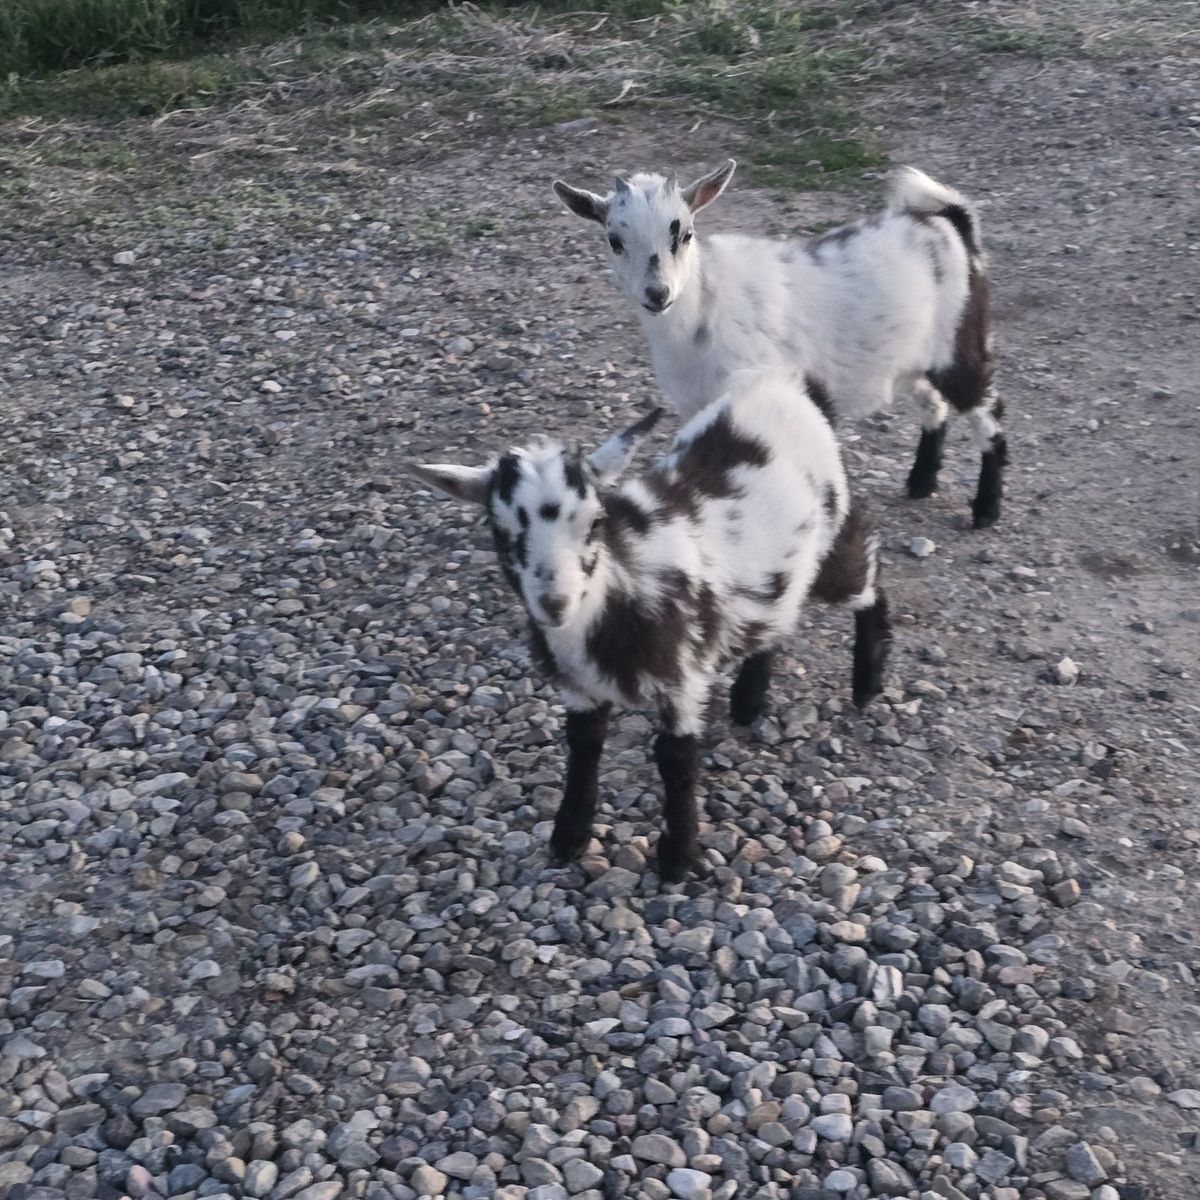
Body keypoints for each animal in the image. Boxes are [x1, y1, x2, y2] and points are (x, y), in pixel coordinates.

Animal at [410, 369, 891, 882]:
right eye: (500, 531)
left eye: (596, 522)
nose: (555, 604)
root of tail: (792, 384)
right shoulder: (578, 689)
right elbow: (583, 746)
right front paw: (569, 836)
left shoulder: (682, 680)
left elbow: (675, 759)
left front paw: (678, 857)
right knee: (777, 617)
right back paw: (748, 702)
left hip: (835, 539)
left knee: (870, 588)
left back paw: (866, 683)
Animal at [553, 160, 1007, 528]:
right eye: (614, 240)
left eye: (685, 234)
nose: (657, 293)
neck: (703, 310)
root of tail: (949, 221)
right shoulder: (695, 404)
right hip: (914, 358)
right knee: (934, 406)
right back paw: (921, 482)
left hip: (960, 344)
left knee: (989, 414)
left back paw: (985, 510)